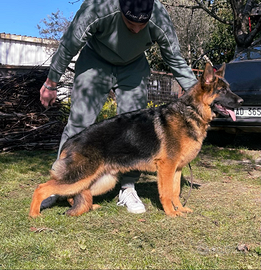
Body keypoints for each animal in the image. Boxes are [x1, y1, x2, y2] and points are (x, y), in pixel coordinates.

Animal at [28, 62, 242, 217]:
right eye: (222, 91)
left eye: (229, 88)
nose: (241, 101)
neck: (191, 112)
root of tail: (70, 141)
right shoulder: (166, 168)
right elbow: (166, 193)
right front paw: (171, 213)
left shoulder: (176, 169)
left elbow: (175, 192)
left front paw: (180, 209)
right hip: (79, 177)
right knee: (42, 188)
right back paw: (34, 215)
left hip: (101, 180)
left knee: (77, 195)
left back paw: (88, 207)